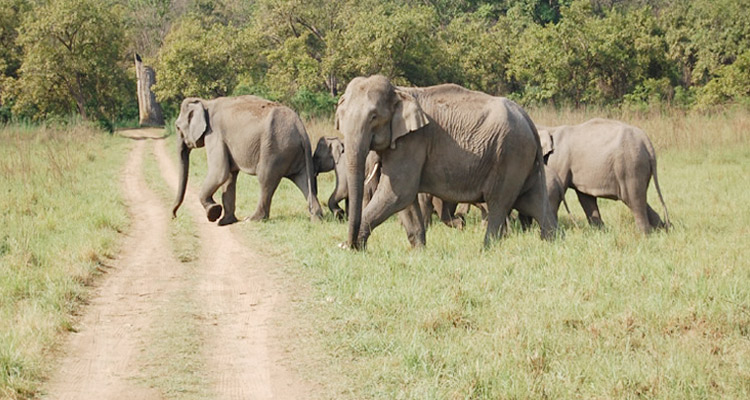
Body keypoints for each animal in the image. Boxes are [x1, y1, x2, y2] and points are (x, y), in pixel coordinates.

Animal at [172, 95, 324, 223]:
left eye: (177, 127)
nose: (174, 216)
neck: (206, 102)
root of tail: (300, 127)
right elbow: (229, 176)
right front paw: (225, 222)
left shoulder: (214, 134)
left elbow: (220, 173)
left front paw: (213, 213)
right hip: (294, 153)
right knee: (303, 179)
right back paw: (317, 219)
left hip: (275, 149)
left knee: (265, 179)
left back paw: (252, 219)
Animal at [338, 75, 556, 248]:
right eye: (341, 117)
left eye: (374, 117)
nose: (347, 243)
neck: (399, 90)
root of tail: (527, 118)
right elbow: (403, 198)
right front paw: (419, 251)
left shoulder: (413, 141)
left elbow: (398, 192)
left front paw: (354, 248)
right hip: (523, 160)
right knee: (532, 200)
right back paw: (552, 242)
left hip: (510, 156)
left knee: (499, 203)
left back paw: (486, 249)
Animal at [536, 117, 672, 233]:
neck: (548, 128)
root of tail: (646, 142)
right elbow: (585, 197)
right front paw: (599, 233)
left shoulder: (559, 160)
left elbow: (551, 190)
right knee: (638, 199)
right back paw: (663, 230)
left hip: (631, 166)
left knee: (634, 200)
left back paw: (644, 234)